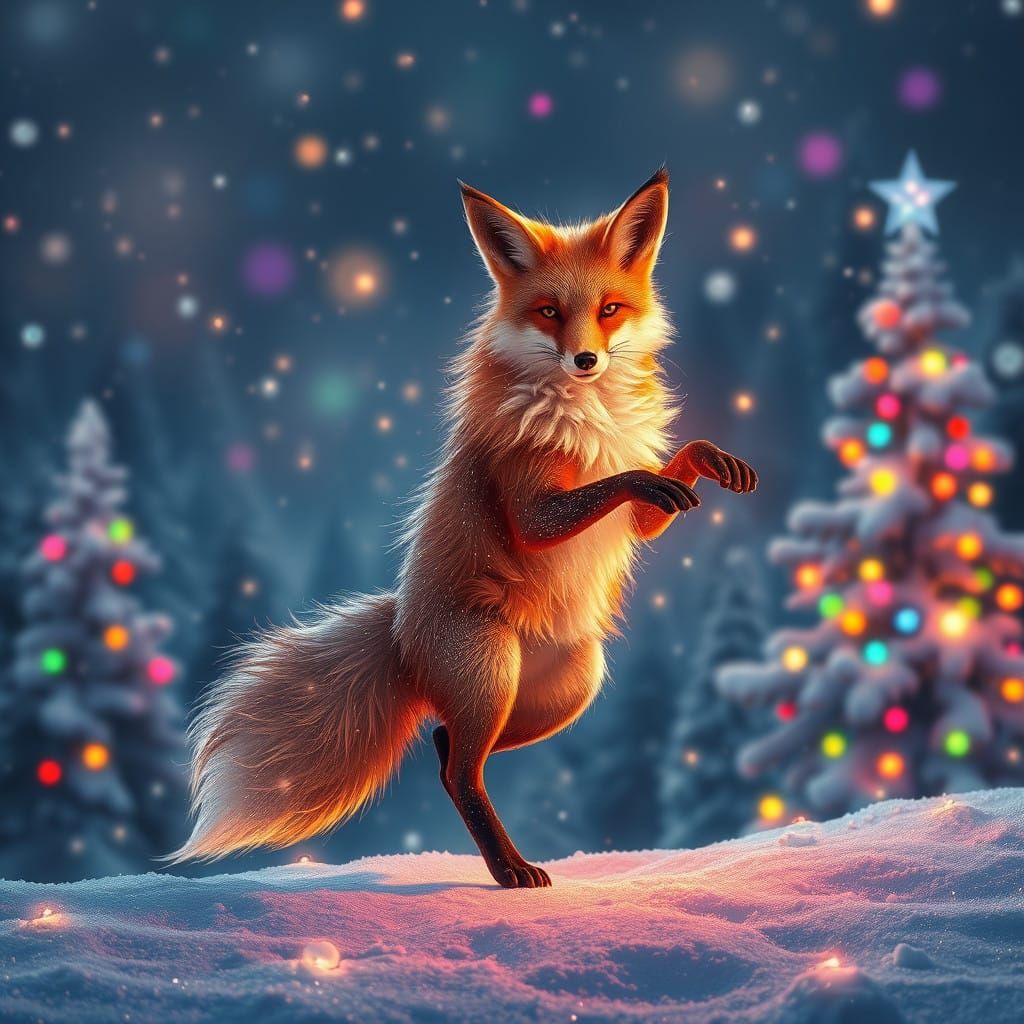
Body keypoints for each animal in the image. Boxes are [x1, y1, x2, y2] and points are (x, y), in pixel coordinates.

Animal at [170, 168, 757, 887]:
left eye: (610, 309)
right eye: (549, 312)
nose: (585, 361)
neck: (588, 412)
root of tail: (401, 634)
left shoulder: (638, 524)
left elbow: (661, 489)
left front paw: (712, 461)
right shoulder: (523, 495)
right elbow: (590, 495)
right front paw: (643, 477)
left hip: (565, 689)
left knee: (447, 744)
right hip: (490, 669)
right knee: (459, 769)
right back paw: (510, 871)